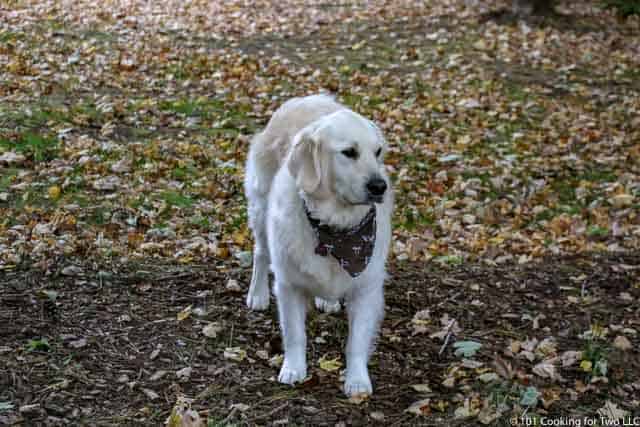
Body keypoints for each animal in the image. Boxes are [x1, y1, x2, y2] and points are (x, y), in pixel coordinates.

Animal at [245, 93, 392, 398]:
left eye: (378, 152)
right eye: (349, 152)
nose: (379, 186)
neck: (336, 228)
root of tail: (306, 99)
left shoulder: (367, 287)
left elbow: (356, 342)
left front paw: (357, 380)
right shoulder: (289, 284)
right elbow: (295, 335)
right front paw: (293, 369)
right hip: (260, 208)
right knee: (260, 252)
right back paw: (257, 294)